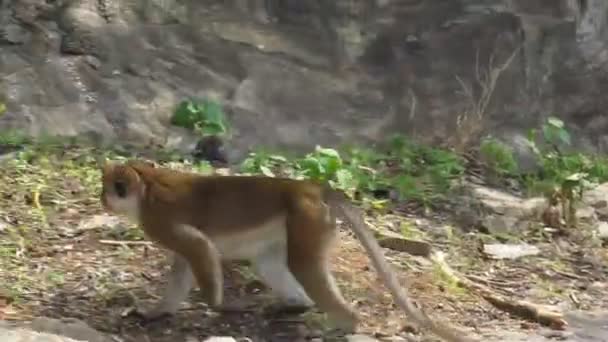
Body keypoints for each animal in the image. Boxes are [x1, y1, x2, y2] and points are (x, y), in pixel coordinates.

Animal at [98, 160, 476, 342]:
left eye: (112, 188)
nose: (102, 199)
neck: (146, 186)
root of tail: (311, 187)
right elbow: (184, 263)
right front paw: (155, 313)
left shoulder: (159, 220)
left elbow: (198, 246)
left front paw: (221, 306)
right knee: (270, 262)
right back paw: (296, 306)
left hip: (307, 219)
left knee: (304, 264)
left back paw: (344, 323)